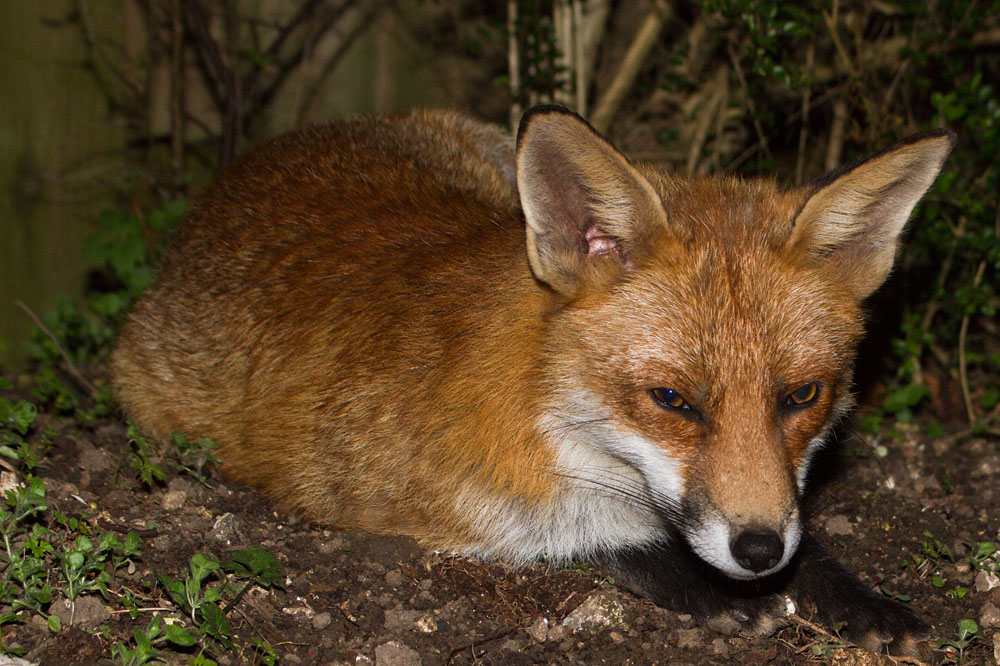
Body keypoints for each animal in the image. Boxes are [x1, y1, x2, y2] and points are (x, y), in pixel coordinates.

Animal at [111, 105, 954, 655]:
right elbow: (577, 535)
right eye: (672, 401)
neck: (544, 405)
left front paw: (852, 596)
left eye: (801, 397)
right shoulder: (398, 497)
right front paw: (710, 590)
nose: (756, 553)